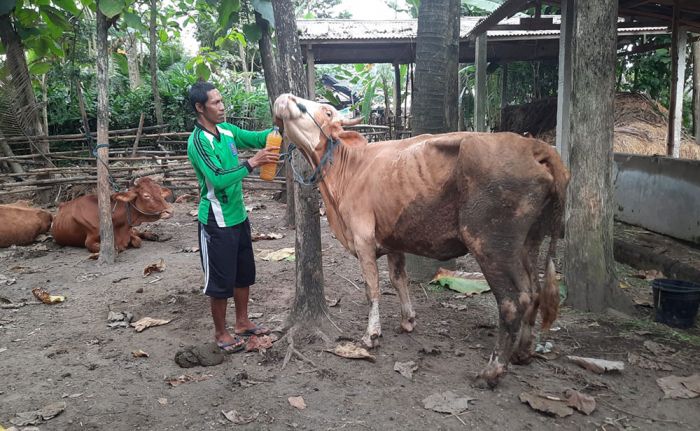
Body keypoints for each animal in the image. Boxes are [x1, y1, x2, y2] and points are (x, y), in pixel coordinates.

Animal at [274, 93, 568, 388]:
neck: (349, 169)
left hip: (490, 243)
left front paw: (372, 335)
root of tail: (533, 146)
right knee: (534, 291)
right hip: (529, 241)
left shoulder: (363, 238)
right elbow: (398, 279)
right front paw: (408, 320)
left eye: (327, 111)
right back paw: (523, 352)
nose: (286, 97)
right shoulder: (393, 240)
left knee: (513, 301)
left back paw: (492, 371)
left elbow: (372, 288)